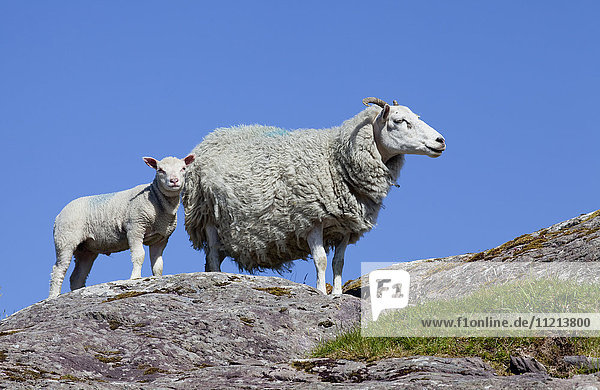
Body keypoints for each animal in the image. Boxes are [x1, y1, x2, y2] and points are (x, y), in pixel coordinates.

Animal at [49, 154, 196, 298]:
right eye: (160, 170)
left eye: (183, 168)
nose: (174, 181)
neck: (156, 200)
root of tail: (58, 216)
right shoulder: (135, 228)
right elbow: (139, 255)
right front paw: (135, 278)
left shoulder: (161, 238)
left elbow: (158, 264)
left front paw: (157, 278)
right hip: (65, 239)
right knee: (58, 269)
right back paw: (53, 296)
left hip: (86, 249)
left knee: (77, 276)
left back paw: (79, 291)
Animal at [183, 96, 446, 292]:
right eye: (399, 120)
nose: (441, 140)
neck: (335, 158)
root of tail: (212, 137)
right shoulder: (311, 218)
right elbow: (320, 260)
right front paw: (321, 292)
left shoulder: (345, 227)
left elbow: (338, 262)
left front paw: (337, 294)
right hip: (208, 216)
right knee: (213, 256)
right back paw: (217, 280)